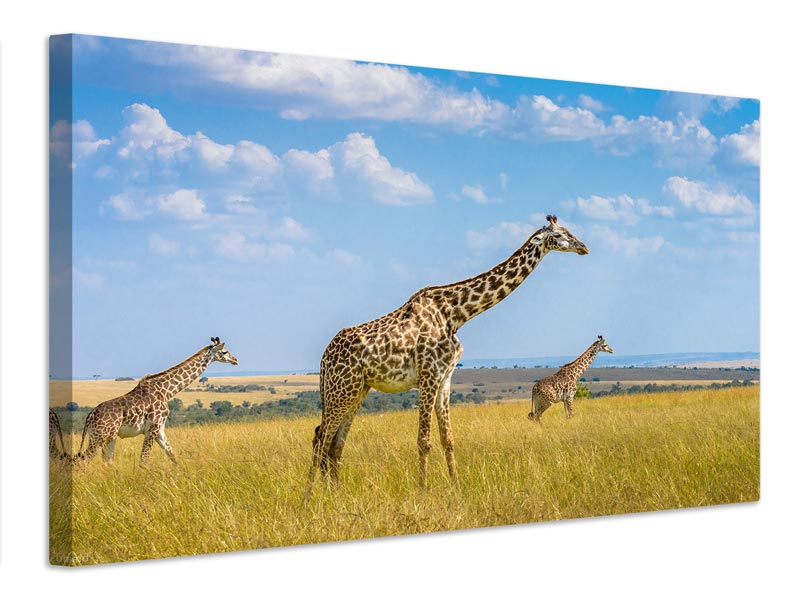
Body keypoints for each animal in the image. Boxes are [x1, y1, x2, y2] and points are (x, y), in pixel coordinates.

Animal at [74, 337, 238, 465]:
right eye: (224, 351)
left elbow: (172, 455)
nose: (235, 360)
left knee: (106, 462)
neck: (166, 391)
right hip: (99, 437)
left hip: (108, 438)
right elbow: (144, 461)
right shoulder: (152, 428)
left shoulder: (160, 429)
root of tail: (90, 416)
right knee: (82, 461)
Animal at [307, 214, 589, 492]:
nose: (583, 247)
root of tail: (324, 358)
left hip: (356, 390)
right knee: (320, 438)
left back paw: (335, 493)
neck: (456, 314)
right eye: (559, 235)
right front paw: (423, 490)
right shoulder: (428, 375)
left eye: (569, 230)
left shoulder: (444, 378)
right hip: (340, 390)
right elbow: (424, 439)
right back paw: (310, 497)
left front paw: (456, 485)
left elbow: (448, 438)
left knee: (334, 443)